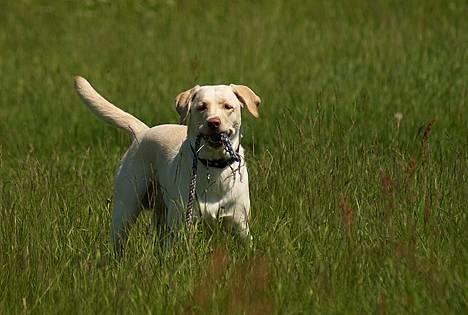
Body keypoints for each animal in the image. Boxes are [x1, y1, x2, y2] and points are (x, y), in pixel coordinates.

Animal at [75, 76, 262, 252]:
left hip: (161, 214)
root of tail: (142, 133)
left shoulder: (240, 226)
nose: (213, 122)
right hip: (127, 207)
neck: (213, 167)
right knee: (120, 240)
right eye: (201, 107)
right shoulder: (185, 224)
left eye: (228, 107)